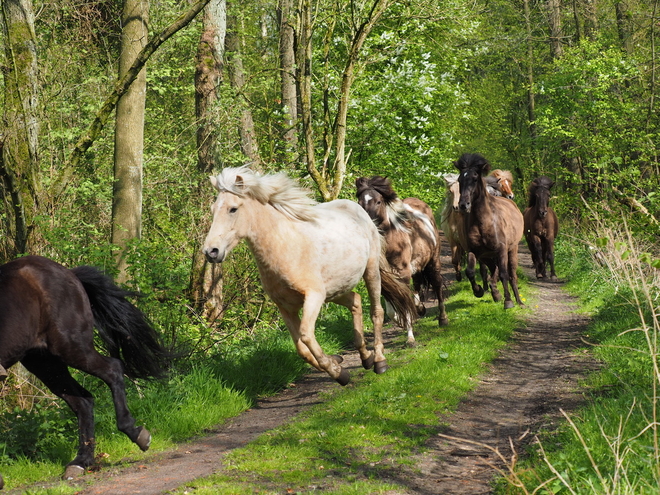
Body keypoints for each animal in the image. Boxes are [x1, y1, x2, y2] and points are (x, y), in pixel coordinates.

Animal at [0, 256, 170, 484]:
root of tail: (70, 273)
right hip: (44, 362)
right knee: (83, 402)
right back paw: (81, 461)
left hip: (71, 347)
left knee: (113, 370)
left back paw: (134, 433)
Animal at [204, 167, 416, 388]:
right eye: (213, 209)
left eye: (233, 209)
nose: (211, 252)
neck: (285, 248)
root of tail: (357, 209)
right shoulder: (286, 307)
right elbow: (301, 349)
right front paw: (336, 362)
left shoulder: (313, 296)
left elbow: (306, 336)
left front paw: (340, 374)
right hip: (335, 290)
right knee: (356, 302)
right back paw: (365, 358)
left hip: (370, 271)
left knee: (376, 312)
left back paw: (379, 362)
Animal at [356, 177, 448, 344]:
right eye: (359, 202)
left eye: (378, 201)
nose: (369, 225)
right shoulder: (385, 277)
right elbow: (392, 307)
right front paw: (402, 321)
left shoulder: (402, 272)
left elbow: (404, 302)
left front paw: (410, 338)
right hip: (417, 266)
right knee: (417, 284)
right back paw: (420, 308)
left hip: (433, 261)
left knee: (437, 284)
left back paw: (443, 319)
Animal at [456, 154, 524, 310]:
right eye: (459, 180)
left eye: (475, 178)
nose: (463, 205)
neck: (483, 221)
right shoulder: (474, 251)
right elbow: (470, 271)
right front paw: (479, 291)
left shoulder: (502, 250)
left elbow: (504, 274)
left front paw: (508, 301)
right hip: (486, 256)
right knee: (493, 269)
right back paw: (495, 293)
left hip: (512, 250)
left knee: (511, 275)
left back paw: (519, 301)